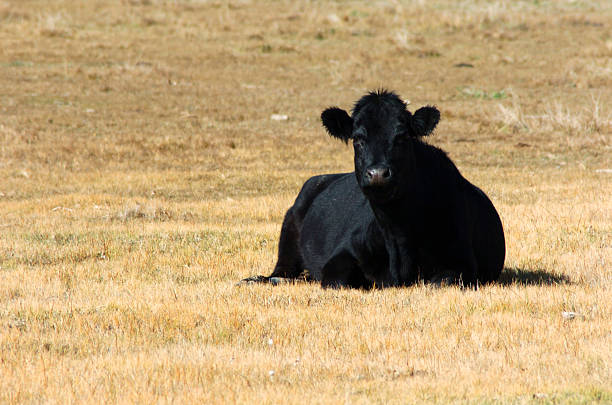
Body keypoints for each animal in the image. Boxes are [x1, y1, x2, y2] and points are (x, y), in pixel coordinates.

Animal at [241, 90, 504, 288]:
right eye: (357, 139)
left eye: (402, 137)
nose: (377, 173)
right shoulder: (342, 255)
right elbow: (338, 281)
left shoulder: (462, 262)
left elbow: (440, 282)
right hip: (289, 226)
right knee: (282, 270)